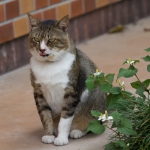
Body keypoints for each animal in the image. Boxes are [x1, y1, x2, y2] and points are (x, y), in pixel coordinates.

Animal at [27, 13, 106, 146]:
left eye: (51, 40)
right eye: (36, 39)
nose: (42, 49)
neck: (49, 66)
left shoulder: (70, 92)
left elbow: (64, 119)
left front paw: (61, 138)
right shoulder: (38, 92)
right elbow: (45, 116)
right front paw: (48, 135)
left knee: (92, 124)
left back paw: (77, 131)